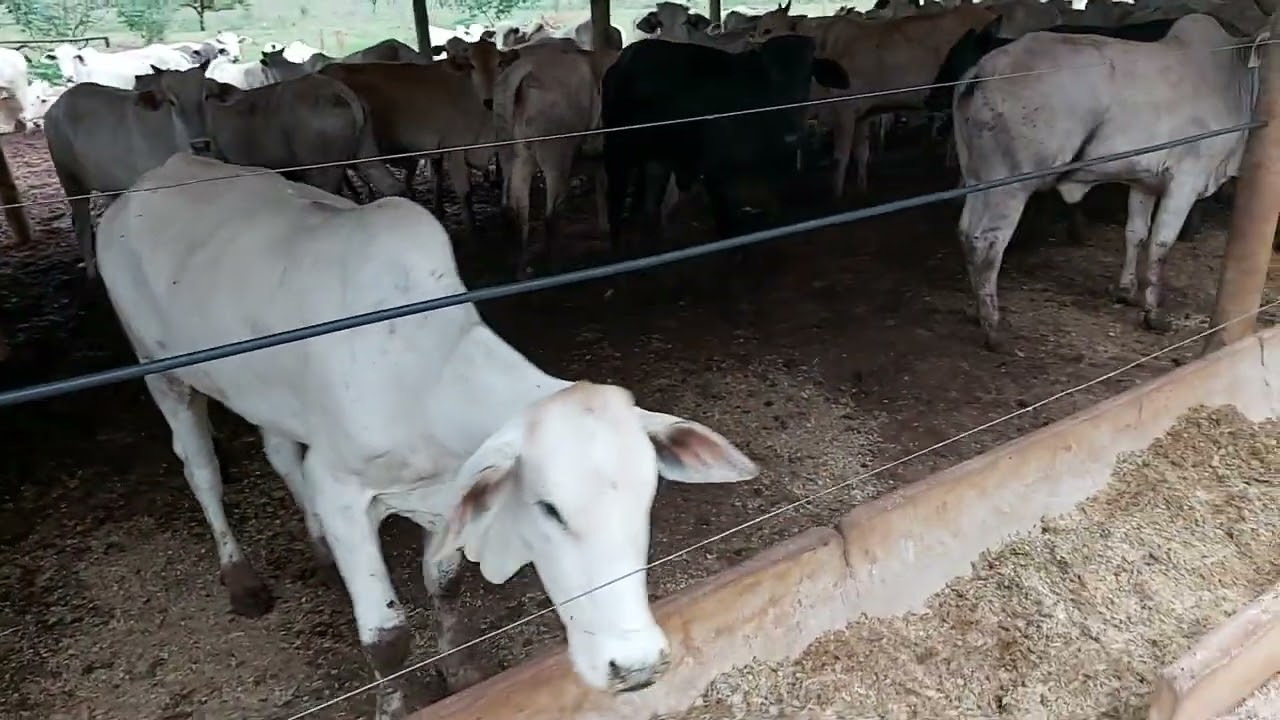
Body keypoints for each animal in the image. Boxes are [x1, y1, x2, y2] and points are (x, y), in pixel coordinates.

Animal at [95, 151, 760, 720]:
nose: (637, 664)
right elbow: (386, 636)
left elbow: (445, 582)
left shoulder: (450, 495)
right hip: (162, 373)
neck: (425, 375)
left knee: (279, 450)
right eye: (548, 508)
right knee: (201, 468)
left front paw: (462, 671)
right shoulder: (341, 488)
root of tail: (153, 176)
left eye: (649, 498)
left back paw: (317, 549)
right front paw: (397, 704)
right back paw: (241, 577)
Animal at [134, 64, 401, 199]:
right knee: (392, 187)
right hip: (366, 153)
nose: (200, 143)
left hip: (322, 170)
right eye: (171, 101)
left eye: (205, 95)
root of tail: (339, 91)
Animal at [602, 35, 849, 257]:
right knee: (615, 197)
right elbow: (725, 220)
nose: (792, 135)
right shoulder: (716, 172)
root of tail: (624, 59)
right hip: (617, 152)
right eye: (770, 75)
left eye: (807, 74)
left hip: (657, 156)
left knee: (651, 197)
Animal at [953, 14, 1264, 350]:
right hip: (1010, 184)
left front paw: (1126, 290)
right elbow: (1161, 243)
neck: (1234, 78)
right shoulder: (1185, 180)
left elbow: (1135, 233)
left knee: (966, 233)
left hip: (977, 177)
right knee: (987, 241)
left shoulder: (1144, 182)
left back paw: (977, 313)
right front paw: (1153, 314)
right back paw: (993, 329)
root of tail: (983, 70)